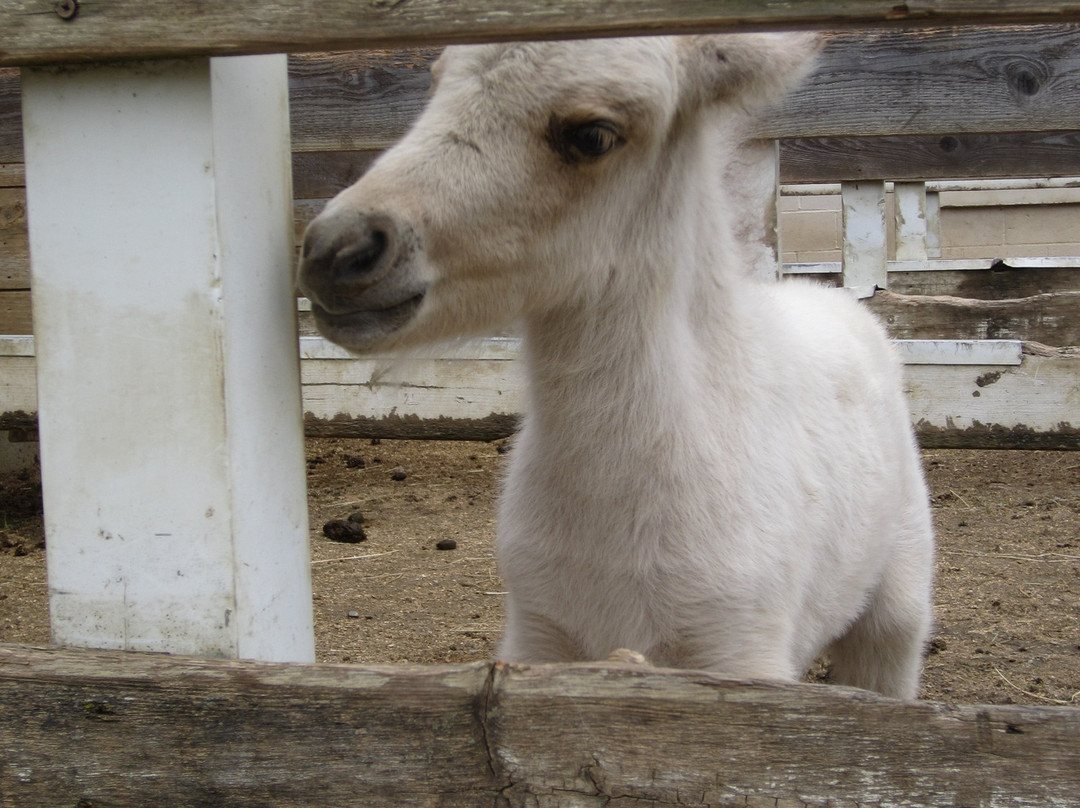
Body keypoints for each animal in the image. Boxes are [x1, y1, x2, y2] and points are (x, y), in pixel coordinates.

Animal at [298, 34, 937, 695]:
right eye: (435, 80)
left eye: (593, 135)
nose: (335, 252)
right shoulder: (540, 638)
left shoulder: (741, 655)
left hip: (899, 603)